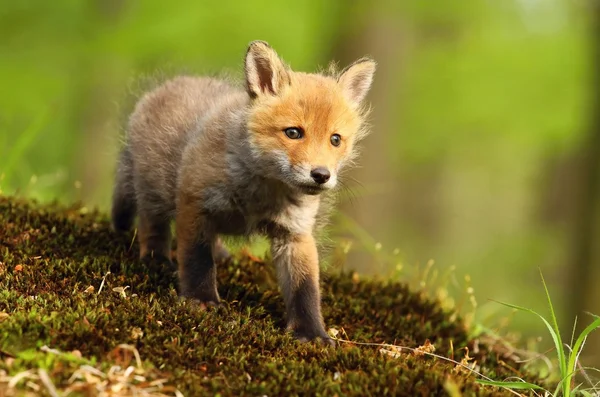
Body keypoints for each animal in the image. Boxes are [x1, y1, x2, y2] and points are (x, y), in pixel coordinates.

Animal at [112, 40, 376, 344]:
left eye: (335, 139)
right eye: (293, 133)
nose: (321, 175)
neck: (261, 194)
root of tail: (168, 85)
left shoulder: (295, 233)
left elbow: (305, 288)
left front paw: (311, 333)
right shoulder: (194, 202)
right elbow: (197, 259)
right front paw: (200, 299)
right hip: (152, 187)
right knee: (151, 222)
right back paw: (156, 258)